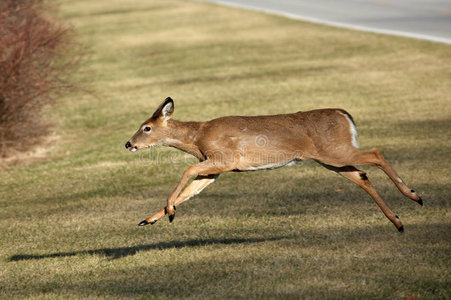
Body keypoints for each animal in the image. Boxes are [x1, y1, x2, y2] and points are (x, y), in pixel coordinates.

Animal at [126, 97, 424, 231]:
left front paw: (169, 211)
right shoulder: (215, 170)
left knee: (375, 153)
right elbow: (190, 191)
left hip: (336, 153)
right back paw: (398, 221)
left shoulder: (224, 159)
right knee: (362, 175)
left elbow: (186, 170)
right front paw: (149, 218)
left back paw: (415, 196)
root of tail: (345, 114)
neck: (198, 137)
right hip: (331, 159)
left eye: (146, 127)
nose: (128, 144)